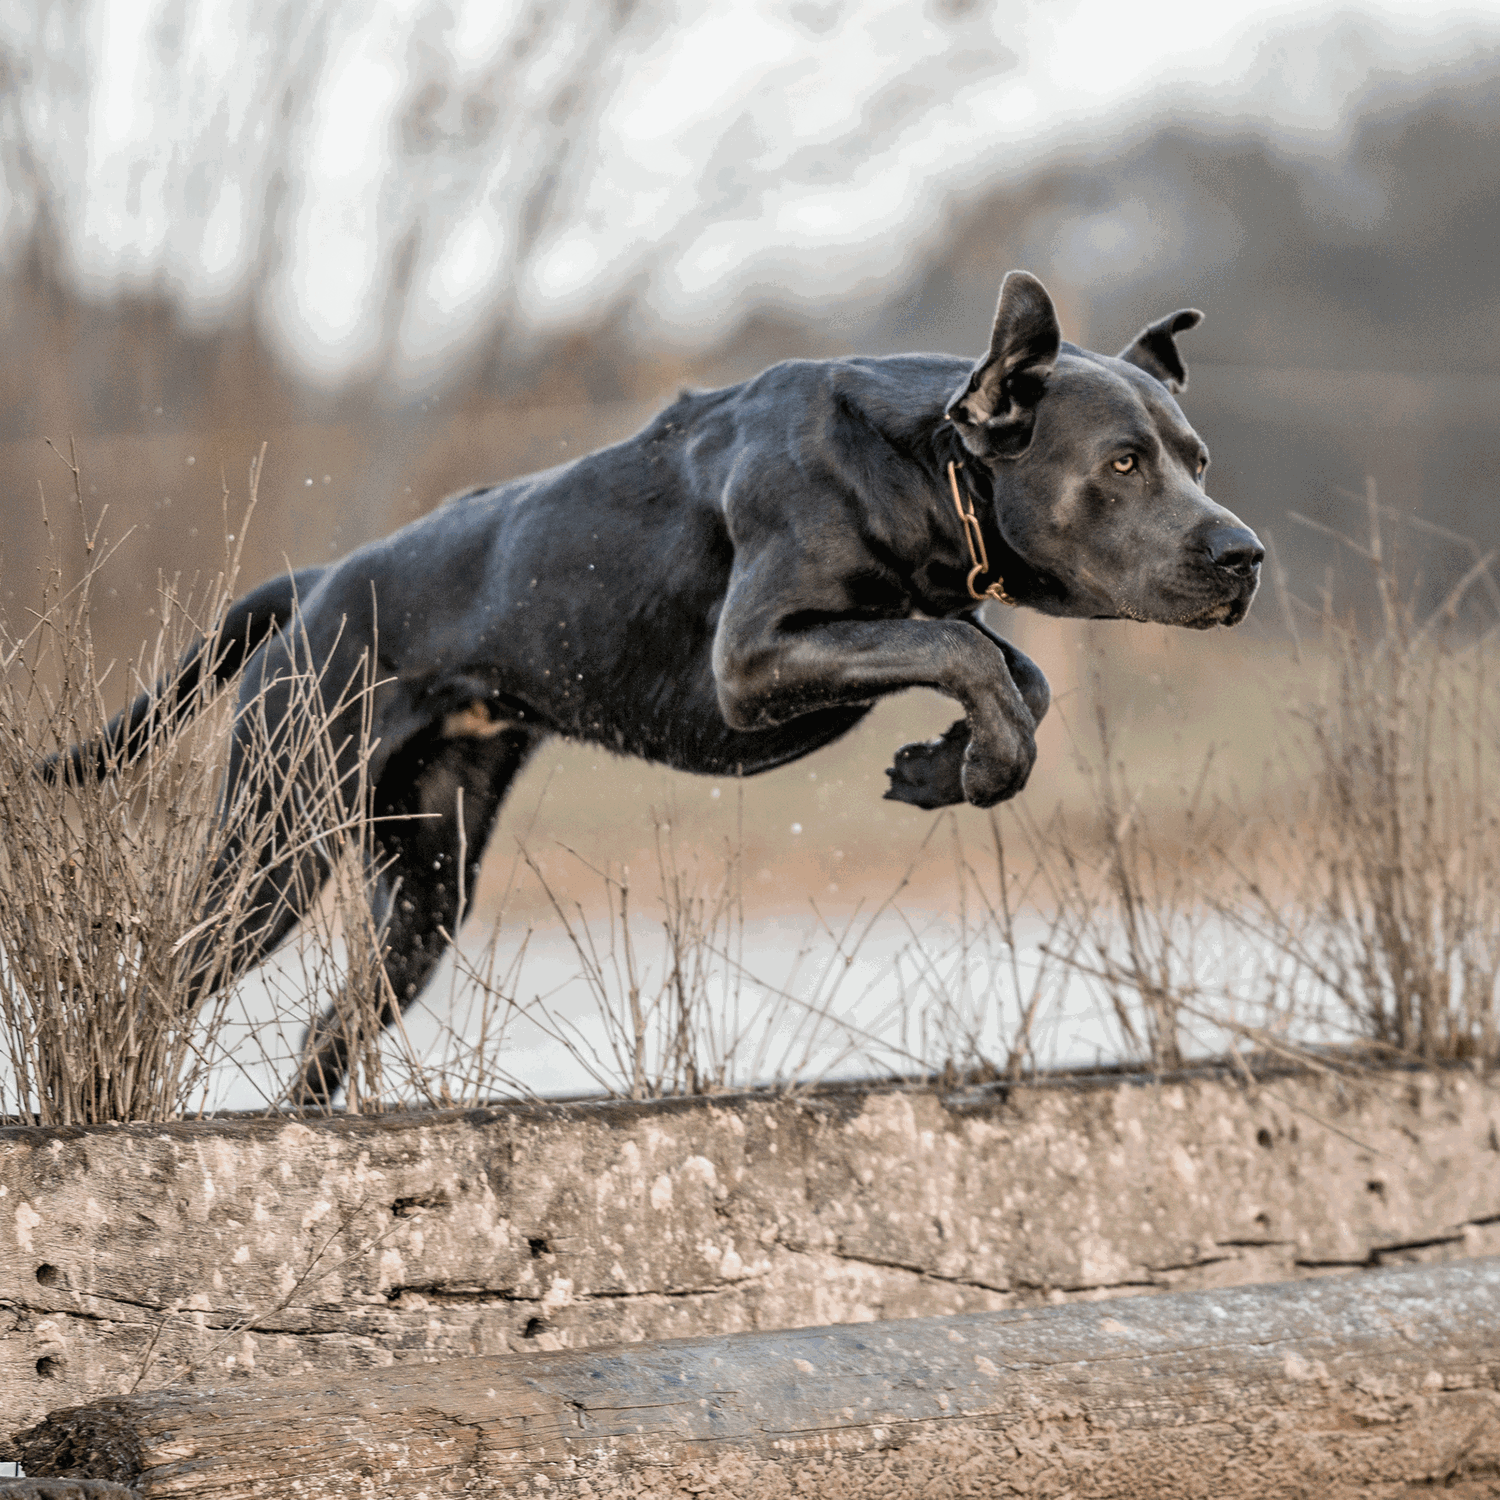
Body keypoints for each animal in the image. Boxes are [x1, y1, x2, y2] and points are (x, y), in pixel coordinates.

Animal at [61, 270, 1254, 1098]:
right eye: (1121, 464)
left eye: (1197, 459)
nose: (1244, 555)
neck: (918, 462)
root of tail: (318, 584)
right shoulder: (754, 659)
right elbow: (968, 656)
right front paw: (980, 765)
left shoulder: (916, 616)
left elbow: (1014, 669)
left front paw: (941, 767)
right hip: (277, 836)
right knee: (158, 978)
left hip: (428, 885)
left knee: (325, 1030)